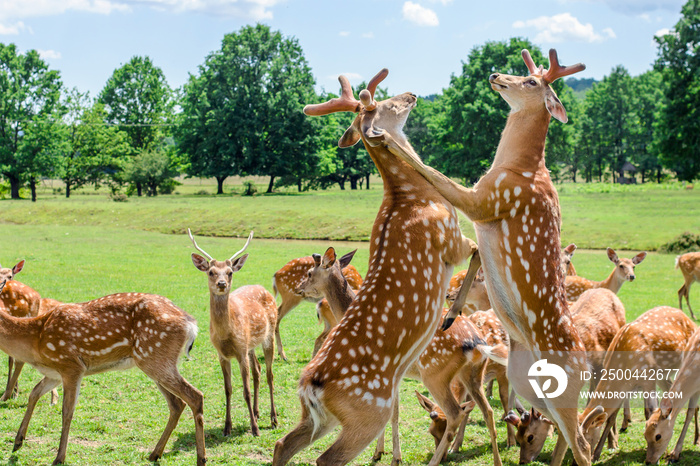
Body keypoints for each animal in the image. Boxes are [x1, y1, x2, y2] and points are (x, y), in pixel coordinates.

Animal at [0, 278, 205, 464]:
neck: (35, 341)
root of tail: (192, 324)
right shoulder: (54, 373)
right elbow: (34, 393)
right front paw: (18, 442)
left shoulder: (71, 366)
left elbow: (67, 411)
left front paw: (59, 458)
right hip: (154, 361)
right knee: (177, 404)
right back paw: (155, 454)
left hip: (154, 357)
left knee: (195, 396)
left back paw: (201, 458)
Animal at [191, 229, 282, 436]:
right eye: (211, 272)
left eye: (230, 272)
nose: (222, 283)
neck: (226, 335)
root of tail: (264, 289)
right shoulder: (223, 355)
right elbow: (228, 389)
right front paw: (227, 427)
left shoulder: (240, 352)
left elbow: (245, 391)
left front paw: (255, 429)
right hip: (251, 345)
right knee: (257, 370)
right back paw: (256, 412)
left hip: (269, 335)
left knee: (270, 375)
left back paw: (273, 419)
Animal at [270, 69, 478, 466]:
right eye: (383, 103)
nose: (411, 94)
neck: (414, 196)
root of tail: (311, 386)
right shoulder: (451, 238)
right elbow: (476, 253)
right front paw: (450, 313)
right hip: (369, 410)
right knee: (326, 457)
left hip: (318, 417)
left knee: (282, 444)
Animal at [382, 48, 596, 466]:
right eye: (525, 70)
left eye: (531, 81)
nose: (496, 74)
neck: (513, 168)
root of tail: (587, 366)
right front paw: (450, 314)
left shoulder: (487, 200)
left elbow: (433, 171)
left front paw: (385, 136)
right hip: (529, 385)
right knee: (567, 430)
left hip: (561, 388)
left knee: (581, 442)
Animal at [644, 326, 700, 464]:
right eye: (644, 435)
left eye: (658, 436)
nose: (648, 461)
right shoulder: (695, 389)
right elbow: (689, 412)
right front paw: (674, 454)